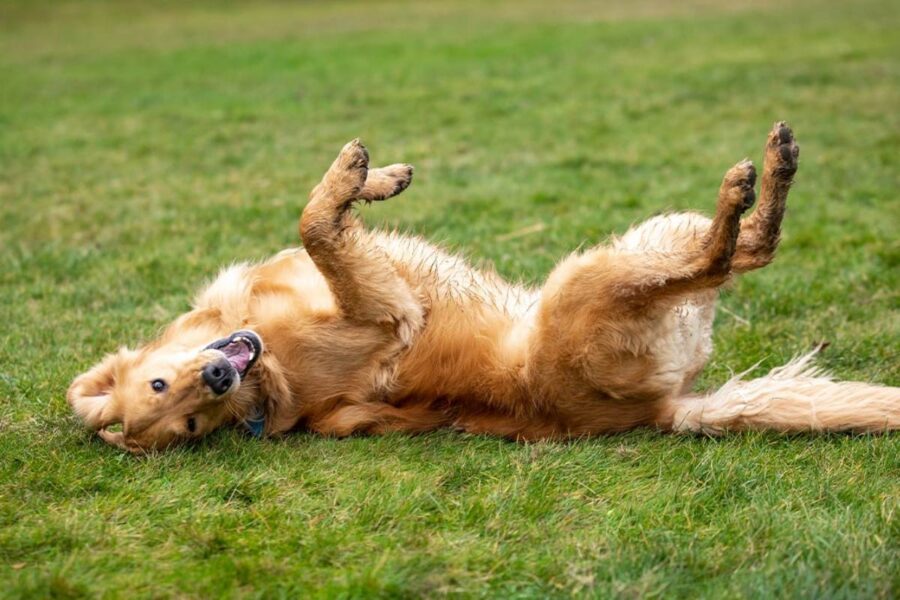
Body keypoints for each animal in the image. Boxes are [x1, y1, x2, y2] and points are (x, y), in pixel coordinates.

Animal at [70, 125, 900, 454]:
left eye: (164, 388)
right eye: (186, 423)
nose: (215, 377)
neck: (265, 352)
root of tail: (663, 411)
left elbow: (323, 221)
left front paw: (376, 178)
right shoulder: (387, 308)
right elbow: (316, 223)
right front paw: (352, 177)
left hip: (646, 237)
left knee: (741, 247)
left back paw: (772, 167)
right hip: (599, 277)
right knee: (732, 254)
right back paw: (753, 180)